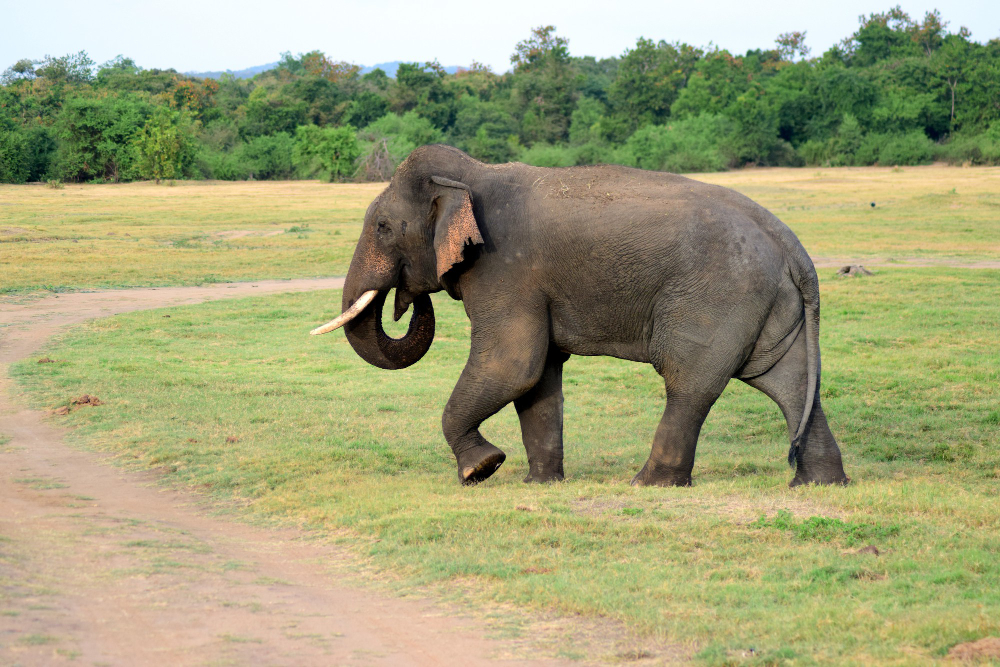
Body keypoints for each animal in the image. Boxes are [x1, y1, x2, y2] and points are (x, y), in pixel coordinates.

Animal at [310, 146, 844, 488]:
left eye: (383, 227)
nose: (407, 297)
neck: (472, 174)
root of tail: (793, 247)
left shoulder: (505, 269)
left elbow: (512, 364)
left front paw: (481, 470)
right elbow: (538, 375)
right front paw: (540, 483)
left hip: (717, 297)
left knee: (688, 383)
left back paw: (648, 485)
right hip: (767, 303)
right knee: (790, 383)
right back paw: (818, 484)